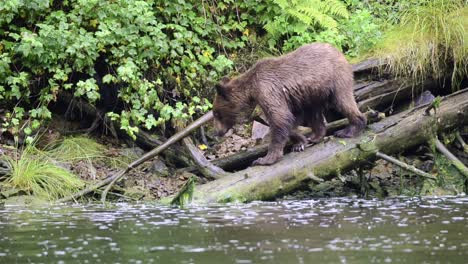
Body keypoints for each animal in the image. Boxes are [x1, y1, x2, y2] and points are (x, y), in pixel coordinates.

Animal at [214, 42, 368, 166]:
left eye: (216, 113)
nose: (217, 132)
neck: (251, 90)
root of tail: (339, 51)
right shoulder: (292, 97)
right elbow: (290, 118)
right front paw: (300, 142)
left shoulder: (268, 91)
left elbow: (280, 118)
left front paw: (264, 159)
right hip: (315, 92)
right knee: (314, 113)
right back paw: (315, 136)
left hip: (335, 79)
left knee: (343, 101)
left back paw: (348, 130)